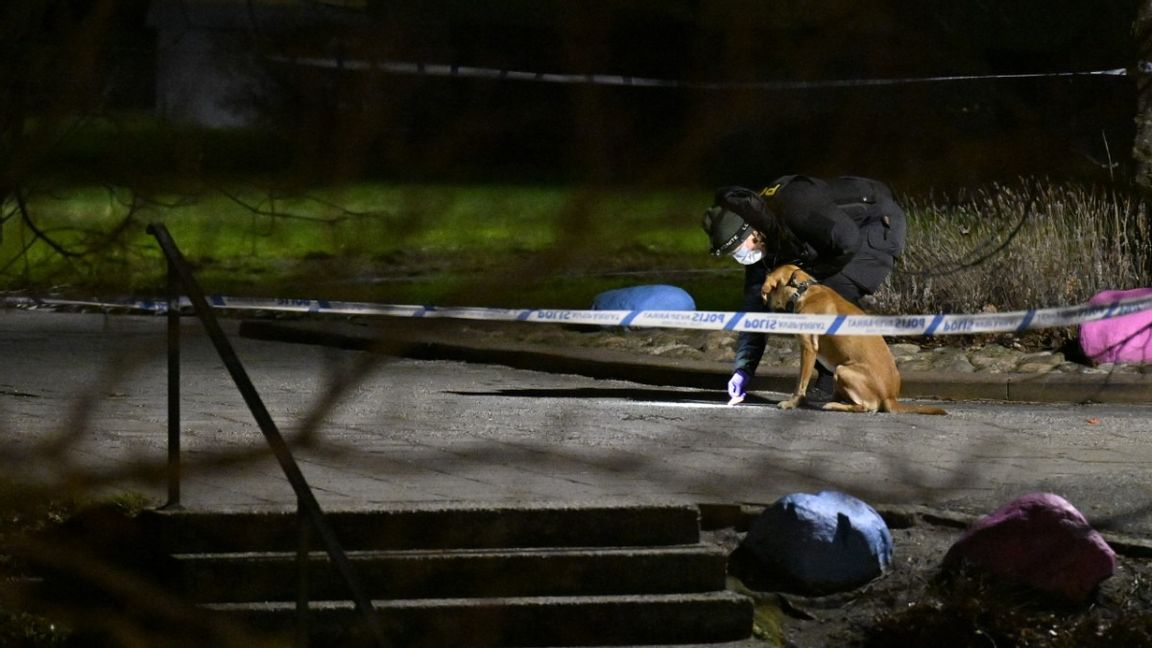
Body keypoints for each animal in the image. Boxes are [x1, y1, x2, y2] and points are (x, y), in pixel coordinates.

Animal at [755, 264, 944, 410]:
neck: (802, 289)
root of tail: (890, 397)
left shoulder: (808, 349)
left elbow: (800, 383)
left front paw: (792, 403)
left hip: (842, 370)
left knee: (867, 407)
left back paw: (835, 405)